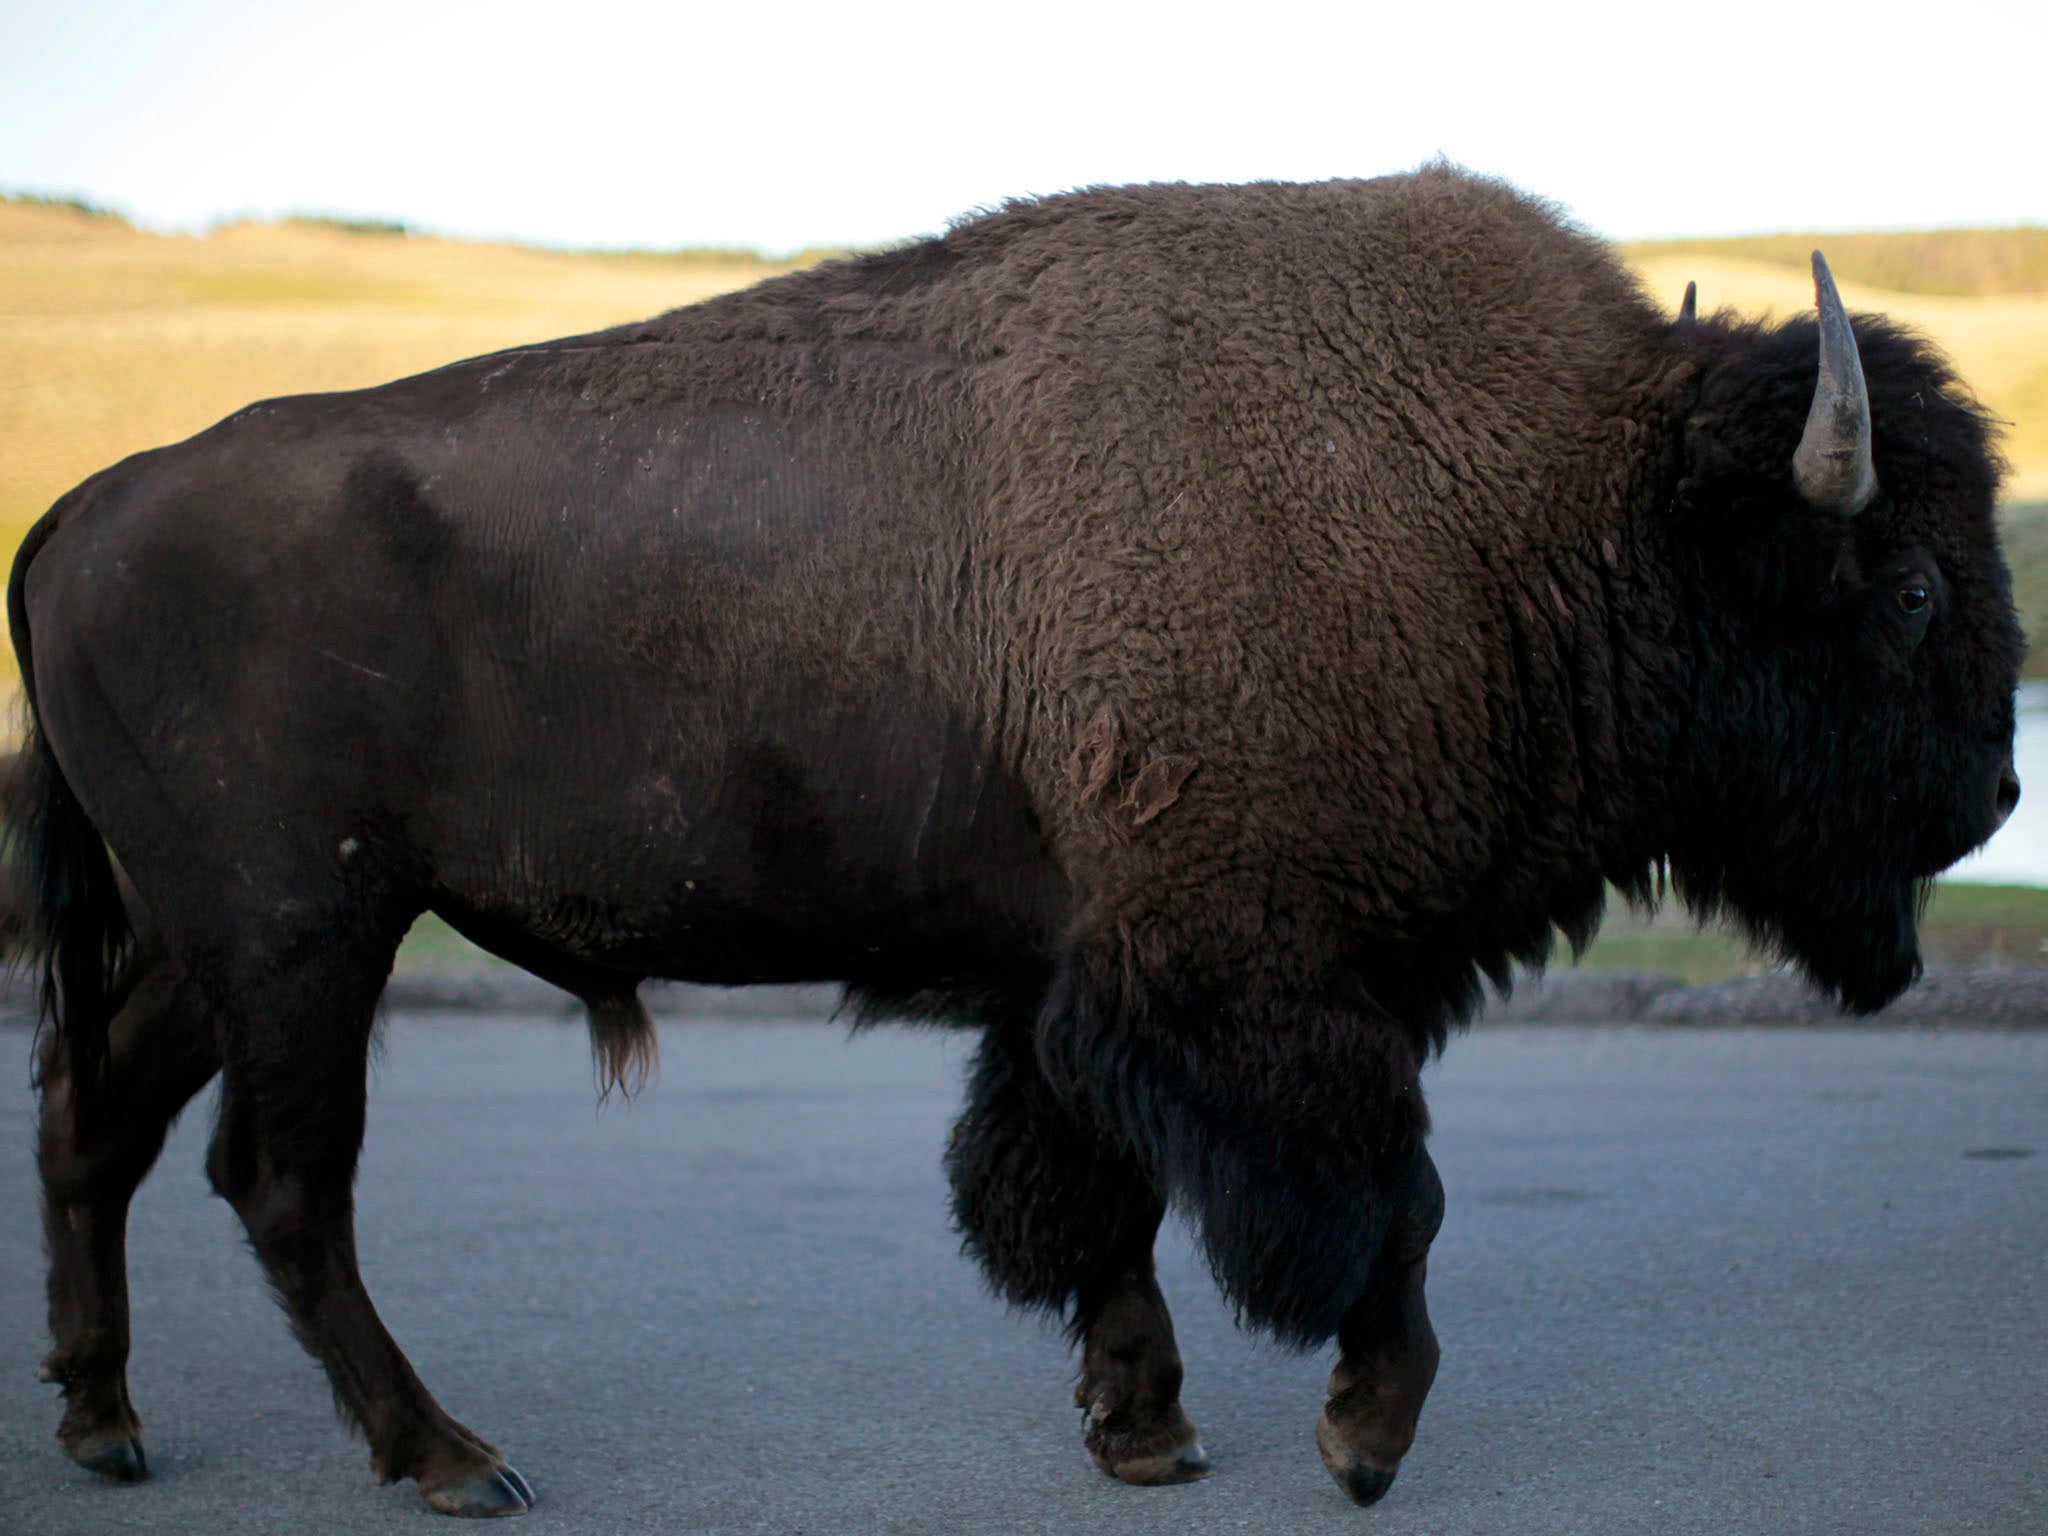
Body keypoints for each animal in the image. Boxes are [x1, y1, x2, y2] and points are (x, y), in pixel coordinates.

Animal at [12, 167, 2031, 1515]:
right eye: (1913, 585)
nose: (1999, 796)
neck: (1539, 504)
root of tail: (74, 522)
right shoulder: (1252, 982)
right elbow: (1383, 1196)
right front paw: (1358, 1437)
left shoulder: (1081, 985)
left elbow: (1081, 1194)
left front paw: (1147, 1429)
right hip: (302, 943)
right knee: (280, 1185)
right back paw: (450, 1460)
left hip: (218, 948)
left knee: (103, 1127)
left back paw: (108, 1425)